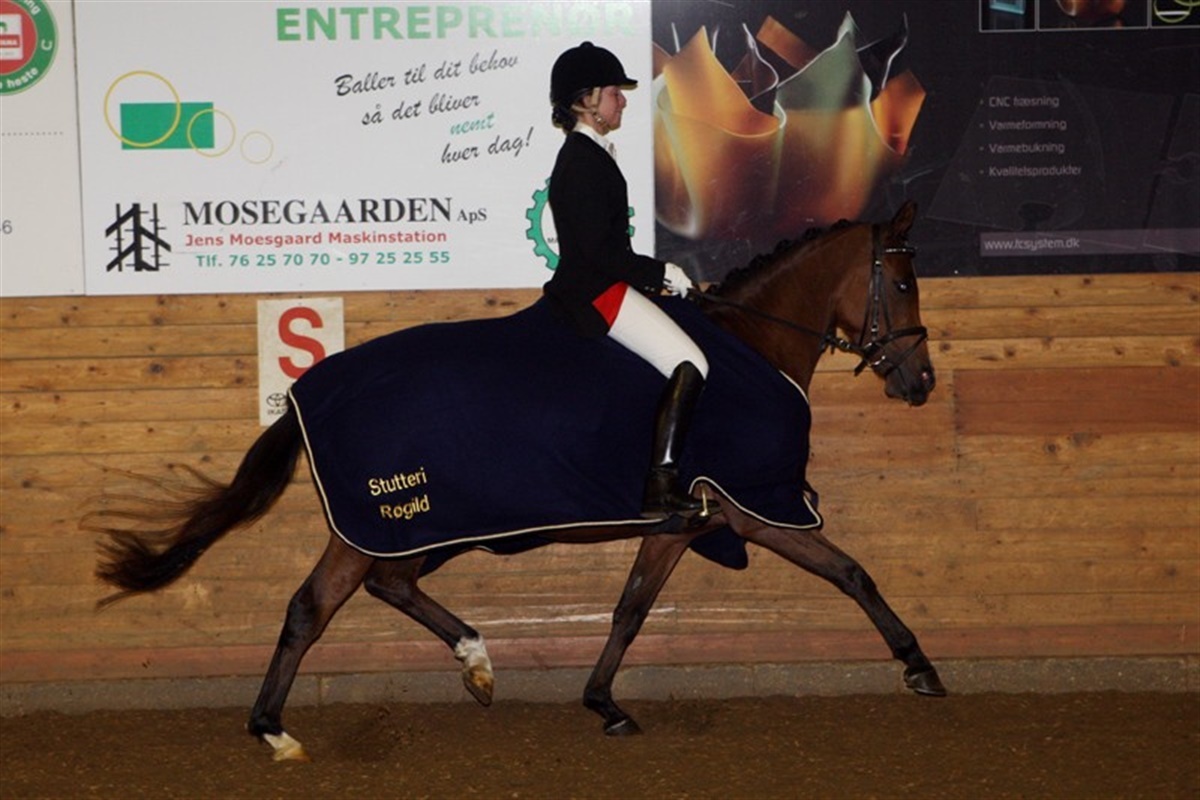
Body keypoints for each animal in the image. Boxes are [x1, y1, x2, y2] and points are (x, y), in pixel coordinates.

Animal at [91, 200, 944, 762]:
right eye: (903, 284)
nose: (922, 382)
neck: (751, 346)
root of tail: (309, 393)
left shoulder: (687, 524)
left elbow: (631, 609)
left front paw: (604, 703)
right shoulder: (756, 508)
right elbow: (852, 574)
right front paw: (921, 667)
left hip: (408, 528)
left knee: (380, 589)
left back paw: (468, 662)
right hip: (385, 519)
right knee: (314, 606)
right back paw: (275, 728)